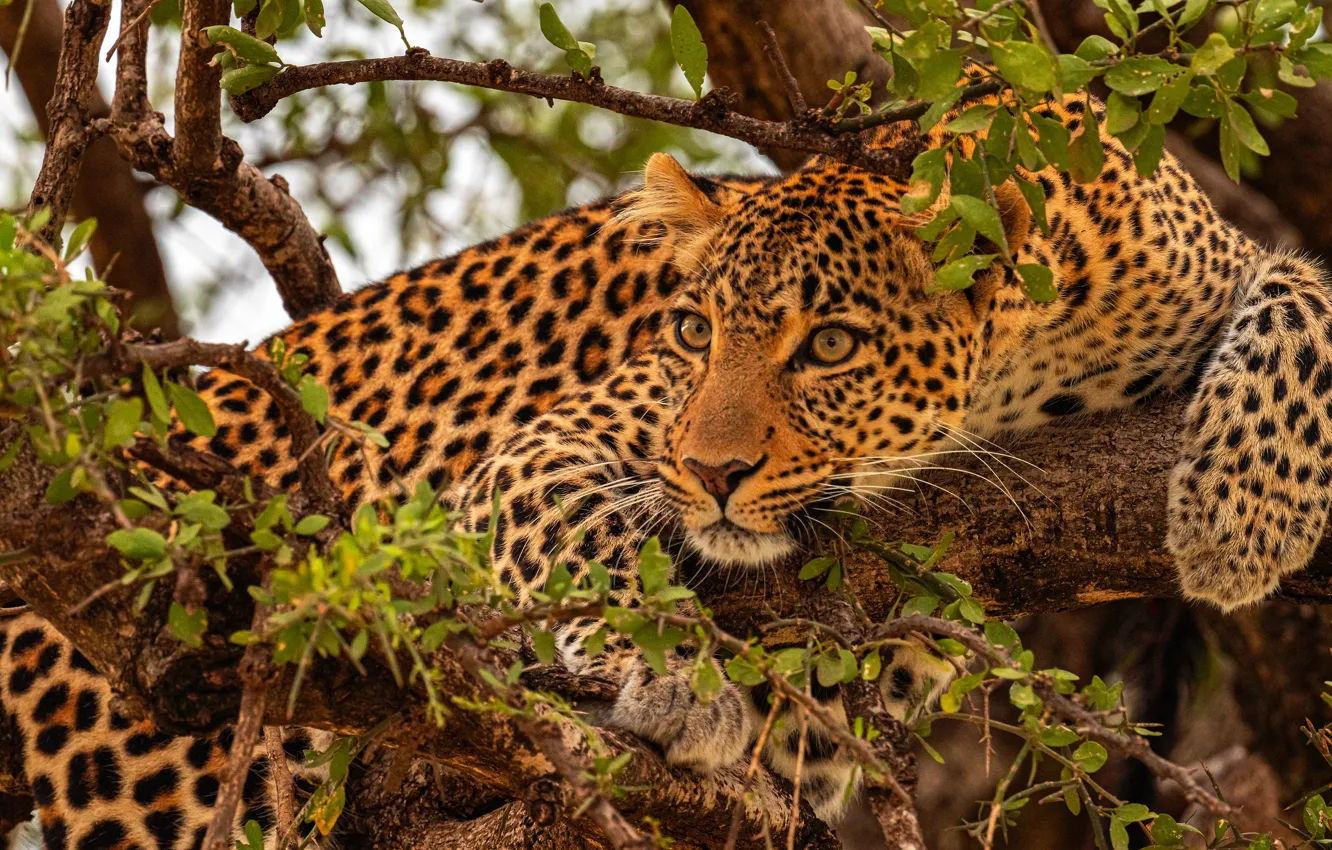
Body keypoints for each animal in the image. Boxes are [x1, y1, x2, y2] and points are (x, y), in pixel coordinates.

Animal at [8, 88, 1332, 842]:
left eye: (831, 344)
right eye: (695, 330)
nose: (711, 473)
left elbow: (1303, 299)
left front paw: (1242, 515)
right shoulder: (547, 445)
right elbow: (583, 534)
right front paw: (673, 675)